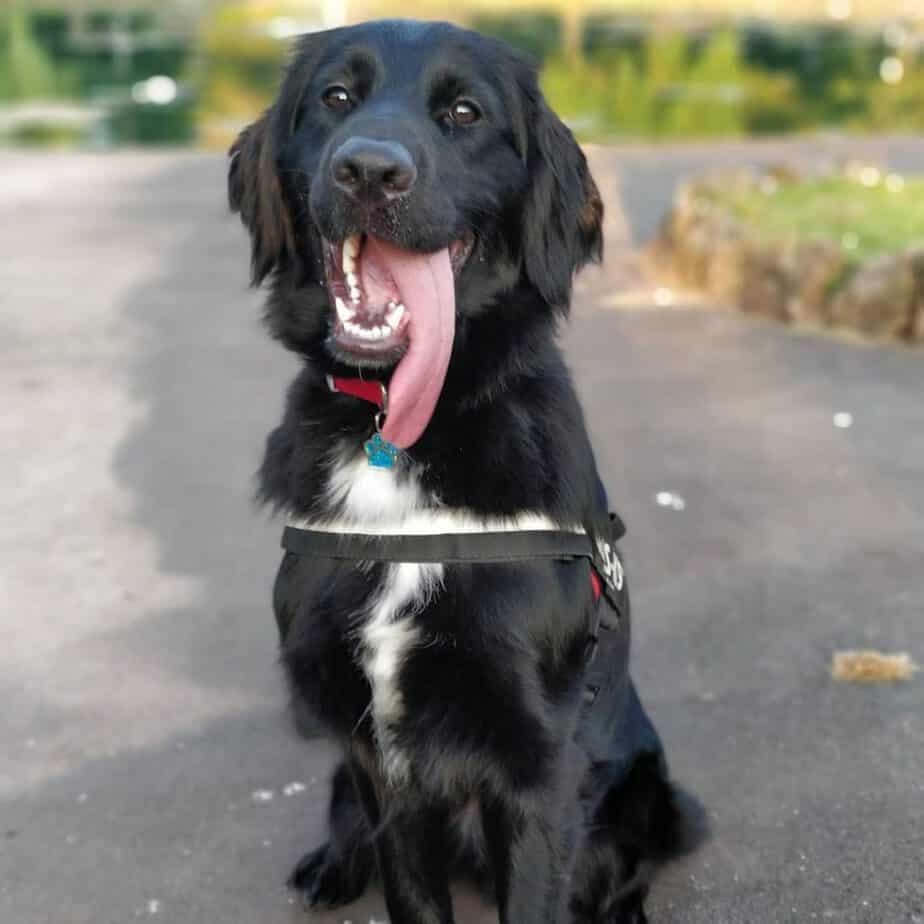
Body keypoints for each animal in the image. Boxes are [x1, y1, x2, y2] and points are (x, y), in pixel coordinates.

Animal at [231, 18, 700, 920]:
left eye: (463, 112)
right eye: (335, 97)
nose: (368, 170)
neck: (403, 429)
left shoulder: (537, 765)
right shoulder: (379, 756)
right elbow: (409, 888)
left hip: (649, 792)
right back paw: (329, 867)